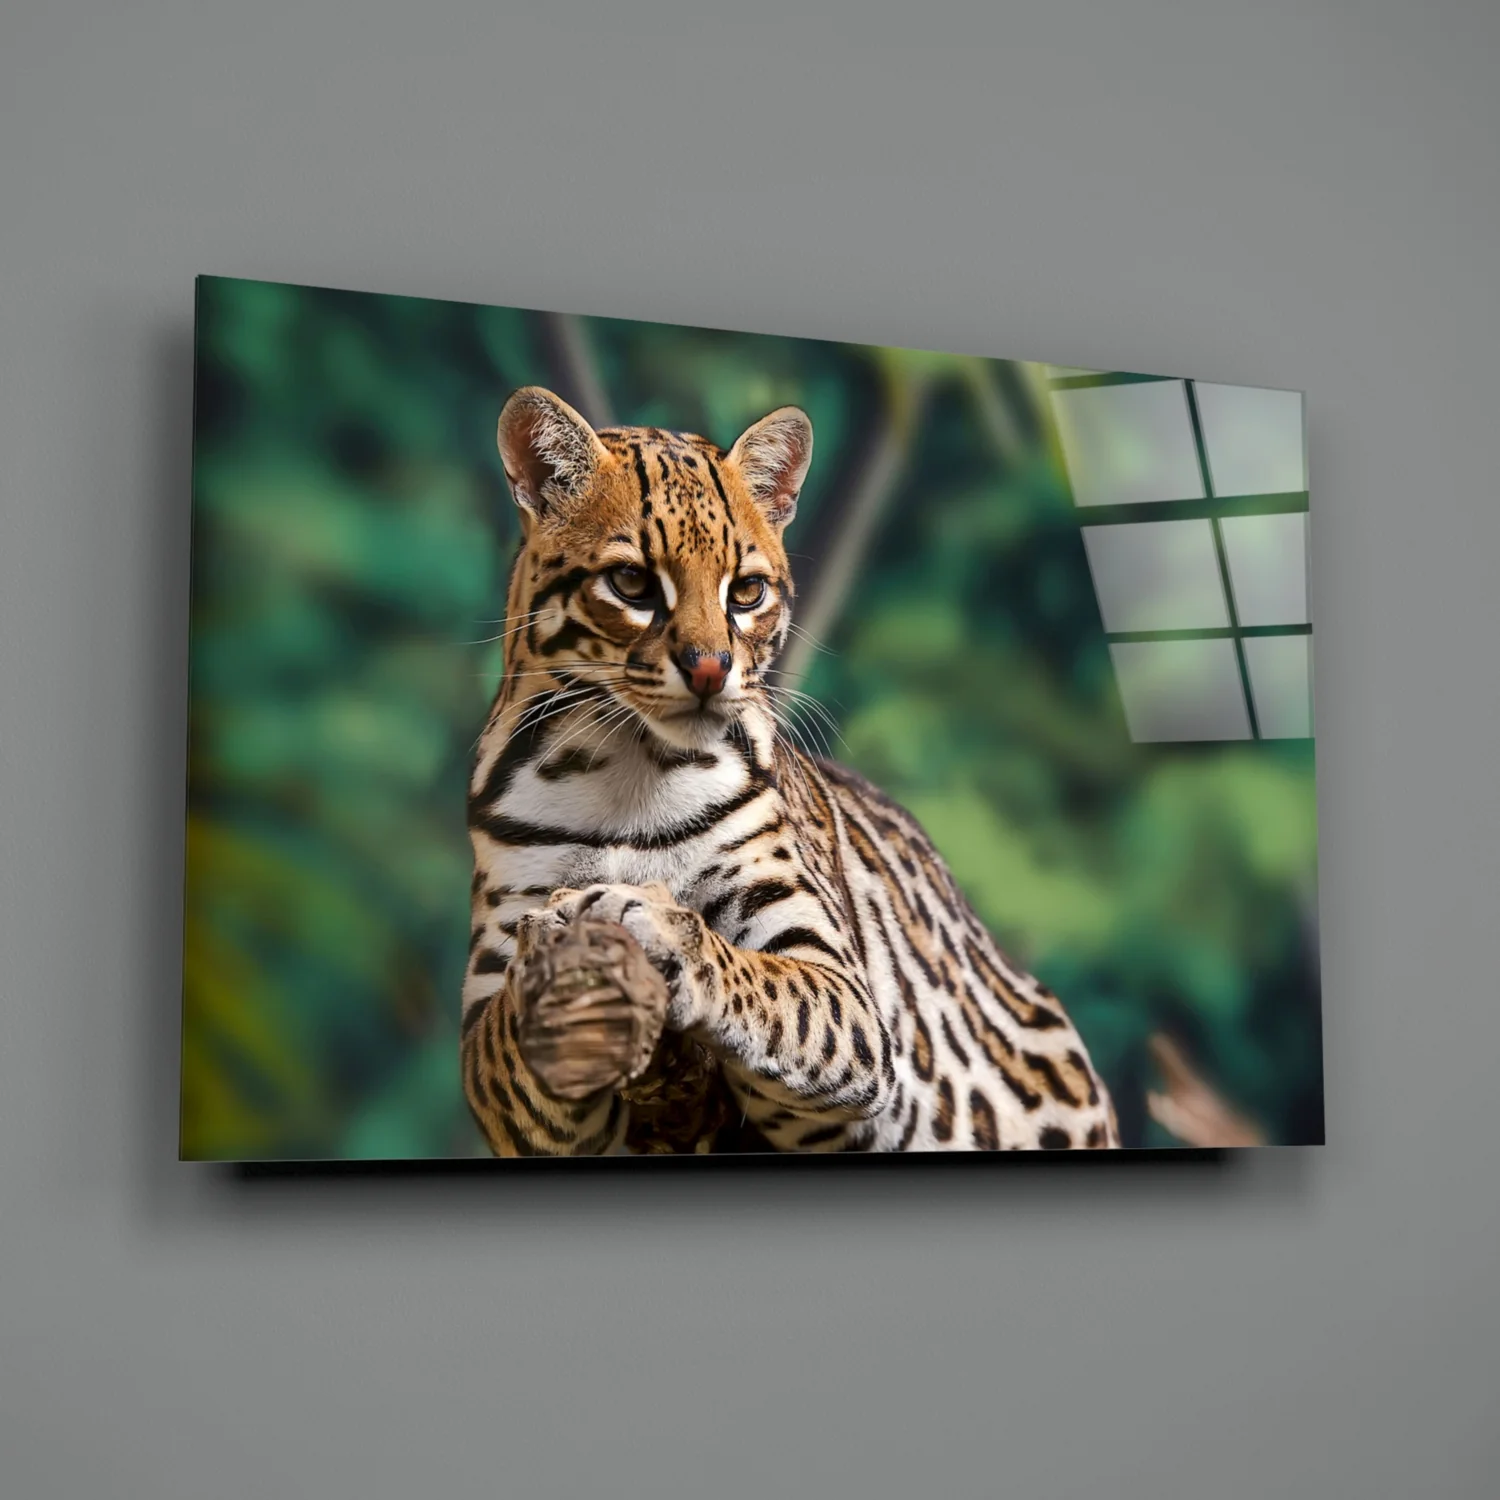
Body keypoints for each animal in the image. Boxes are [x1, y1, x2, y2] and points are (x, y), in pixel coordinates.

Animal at [461, 385, 1119, 1154]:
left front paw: (653, 920)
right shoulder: (493, 1028)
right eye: (630, 583)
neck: (629, 772)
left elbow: (760, 979)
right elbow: (507, 1037)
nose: (711, 670)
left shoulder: (845, 994)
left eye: (746, 592)